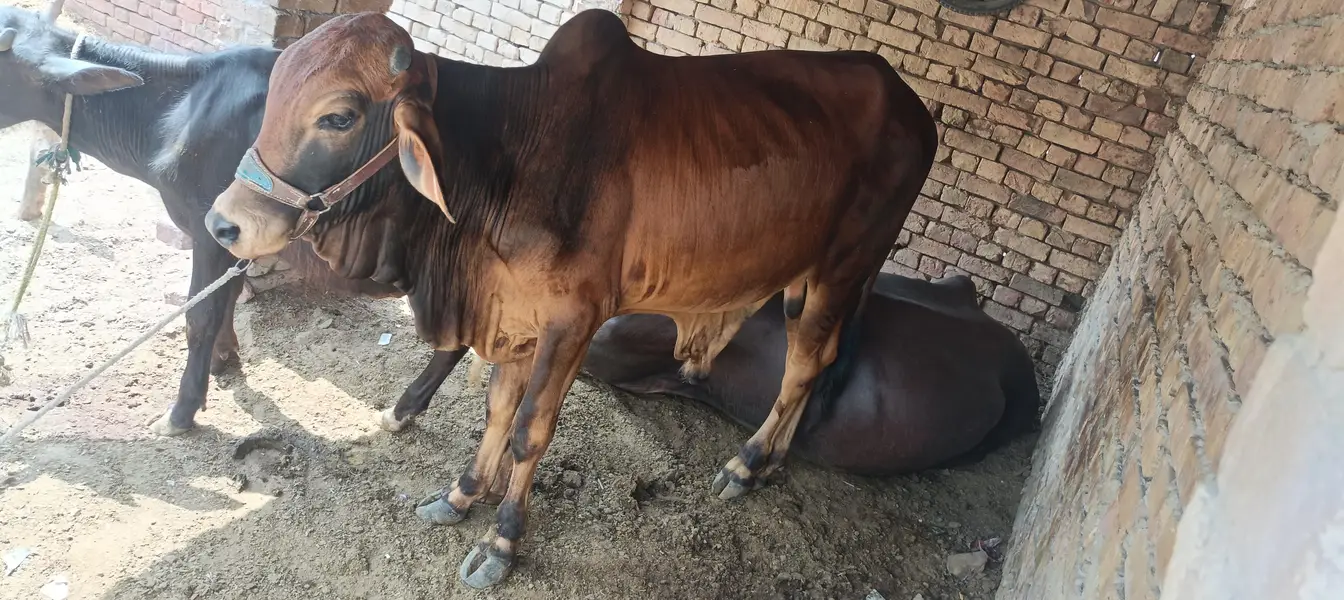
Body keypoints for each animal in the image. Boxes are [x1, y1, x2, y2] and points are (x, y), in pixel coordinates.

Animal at [0, 6, 470, 436]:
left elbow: (201, 314)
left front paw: (183, 411)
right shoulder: (231, 232)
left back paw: (403, 414)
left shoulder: (209, 229)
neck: (176, 114)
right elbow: (227, 298)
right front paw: (225, 359)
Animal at [203, 11, 939, 588]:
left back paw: (747, 463)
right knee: (817, 360)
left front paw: (501, 542)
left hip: (844, 266)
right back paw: (774, 460)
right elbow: (497, 408)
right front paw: (461, 494)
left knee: (804, 365)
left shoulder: (574, 319)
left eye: (339, 115)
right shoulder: (510, 309)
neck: (505, 158)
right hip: (805, 278)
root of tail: (913, 106)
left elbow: (530, 427)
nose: (222, 223)